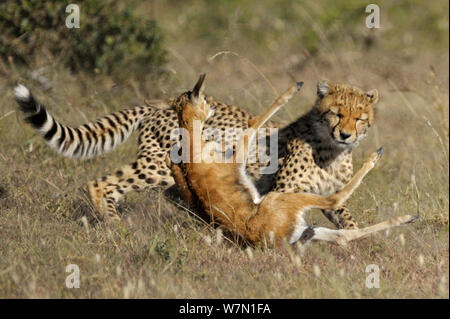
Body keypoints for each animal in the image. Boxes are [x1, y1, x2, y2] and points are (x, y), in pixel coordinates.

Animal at [13, 79, 376, 228]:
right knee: (101, 183)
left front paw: (357, 248)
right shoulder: (282, 192)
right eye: (335, 113)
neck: (331, 149)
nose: (346, 133)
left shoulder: (328, 196)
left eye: (359, 118)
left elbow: (346, 218)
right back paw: (114, 227)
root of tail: (161, 104)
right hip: (157, 167)